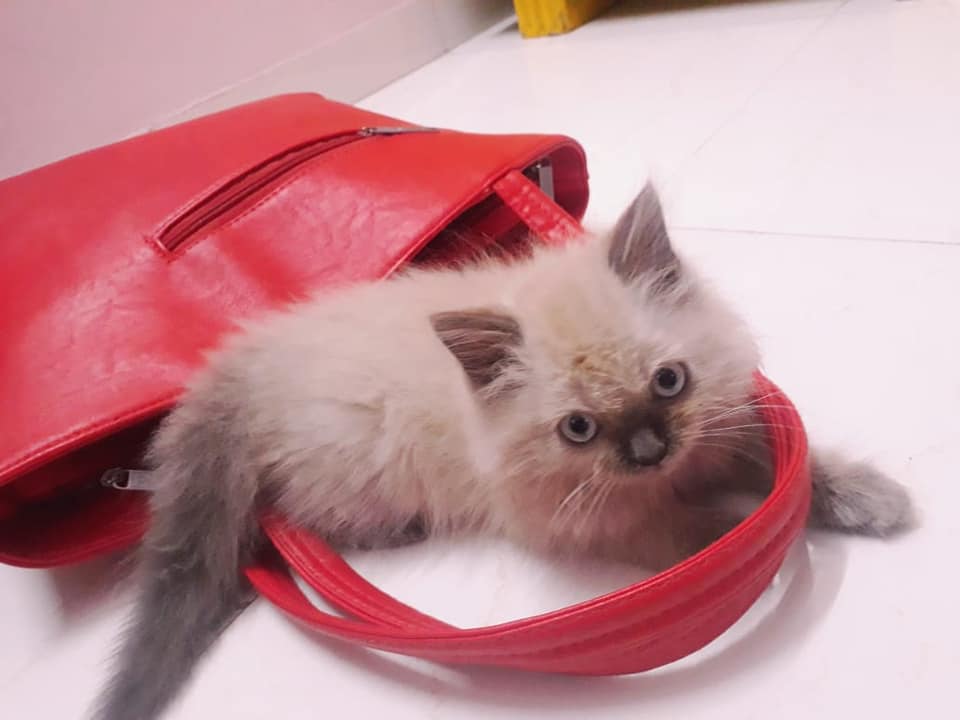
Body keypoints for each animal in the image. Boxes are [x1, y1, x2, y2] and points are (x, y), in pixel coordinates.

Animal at [93, 183, 913, 720]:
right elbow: (694, 535)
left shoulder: (718, 428)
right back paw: (397, 531)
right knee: (308, 516)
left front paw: (866, 499)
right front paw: (744, 540)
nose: (649, 449)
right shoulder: (584, 519)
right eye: (579, 429)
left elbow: (791, 466)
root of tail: (249, 359)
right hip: (362, 470)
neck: (668, 477)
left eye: (669, 381)